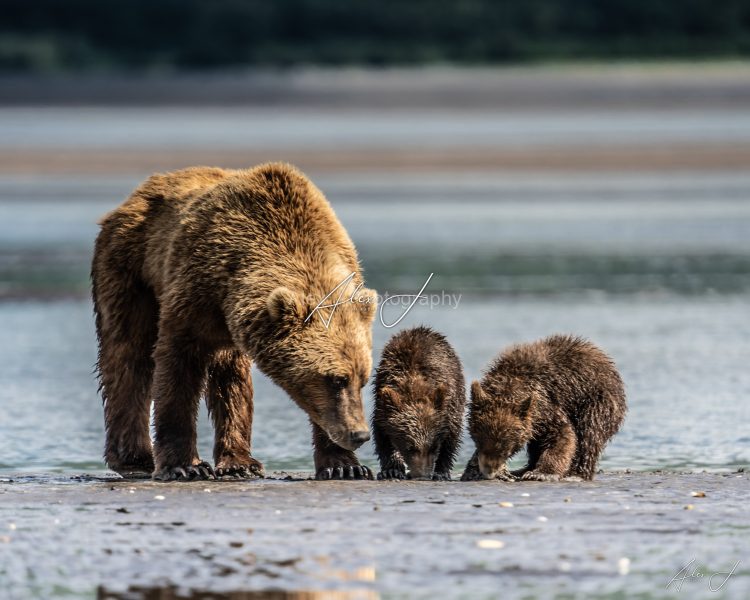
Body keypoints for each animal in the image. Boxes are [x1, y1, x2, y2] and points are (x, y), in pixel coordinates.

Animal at [92, 163, 378, 482]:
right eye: (336, 379)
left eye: (362, 379)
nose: (360, 434)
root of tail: (136, 195)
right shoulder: (192, 294)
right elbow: (176, 369)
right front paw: (185, 465)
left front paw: (345, 465)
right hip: (129, 268)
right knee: (128, 356)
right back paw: (134, 458)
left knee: (230, 375)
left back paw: (240, 462)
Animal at [374, 326, 468, 480]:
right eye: (410, 447)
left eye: (434, 447)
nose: (423, 475)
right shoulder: (382, 401)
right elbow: (382, 435)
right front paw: (392, 470)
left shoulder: (449, 404)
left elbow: (451, 437)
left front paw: (441, 472)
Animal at [462, 332, 624, 482]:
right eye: (478, 439)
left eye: (505, 446)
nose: (489, 471)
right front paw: (472, 470)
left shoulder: (548, 405)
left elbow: (562, 435)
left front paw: (542, 473)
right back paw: (522, 469)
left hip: (596, 401)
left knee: (589, 435)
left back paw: (576, 474)